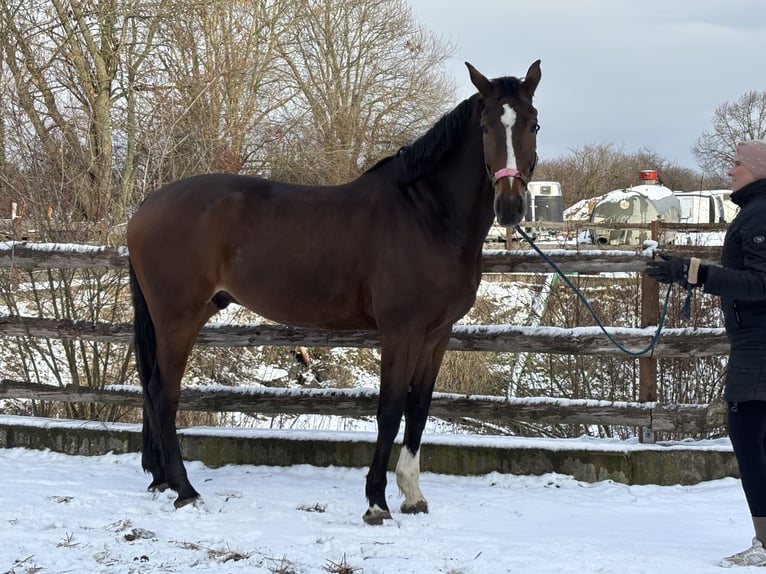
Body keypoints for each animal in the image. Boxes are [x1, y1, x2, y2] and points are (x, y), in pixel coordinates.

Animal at [126, 59, 541, 524]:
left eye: (534, 124)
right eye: (486, 127)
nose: (510, 206)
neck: (427, 214)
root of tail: (146, 207)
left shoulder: (437, 334)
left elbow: (418, 408)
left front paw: (412, 495)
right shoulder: (401, 332)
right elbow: (389, 410)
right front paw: (377, 502)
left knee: (151, 390)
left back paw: (161, 480)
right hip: (178, 319)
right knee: (164, 394)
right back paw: (185, 491)